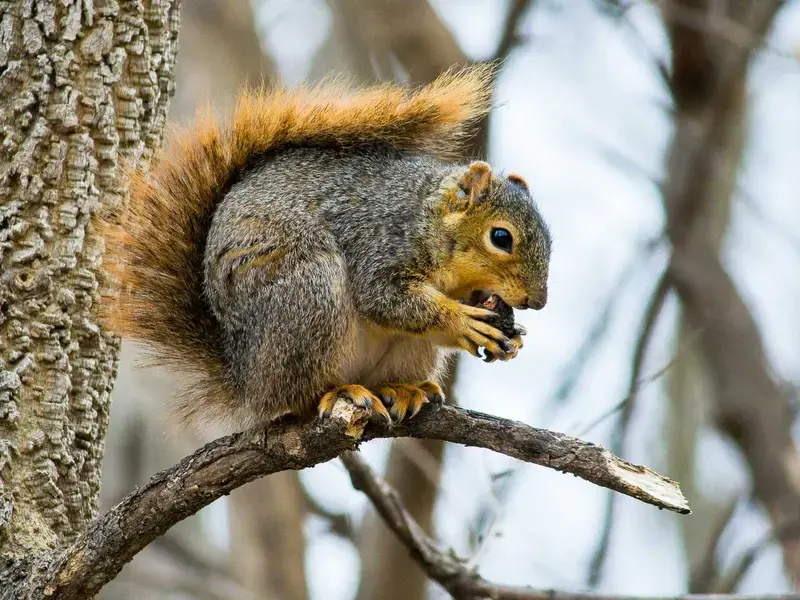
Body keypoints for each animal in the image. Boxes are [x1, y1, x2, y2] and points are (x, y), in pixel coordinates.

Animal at [101, 64, 552, 428]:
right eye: (501, 237)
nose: (538, 301)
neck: (430, 219)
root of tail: (246, 379)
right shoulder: (379, 241)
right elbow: (385, 300)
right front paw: (462, 321)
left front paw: (511, 336)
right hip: (309, 296)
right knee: (297, 397)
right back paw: (337, 392)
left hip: (406, 350)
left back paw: (402, 389)